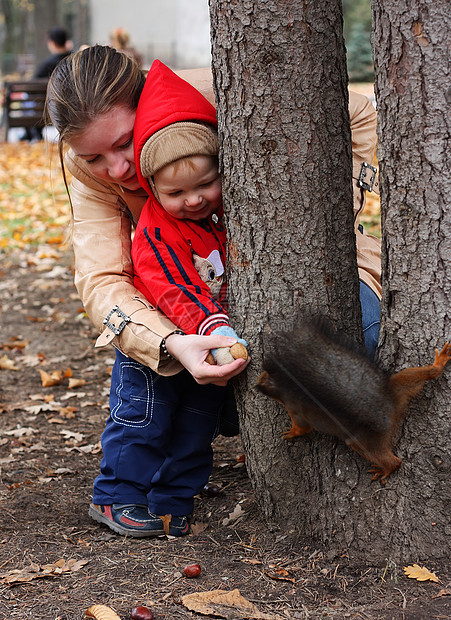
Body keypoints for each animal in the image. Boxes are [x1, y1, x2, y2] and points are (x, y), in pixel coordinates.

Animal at [256, 318, 450, 482]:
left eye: (263, 382)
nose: (257, 382)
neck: (285, 387)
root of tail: (387, 409)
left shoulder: (295, 409)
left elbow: (303, 428)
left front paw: (291, 432)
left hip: (362, 441)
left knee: (392, 460)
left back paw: (386, 468)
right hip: (400, 384)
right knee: (424, 374)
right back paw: (438, 363)